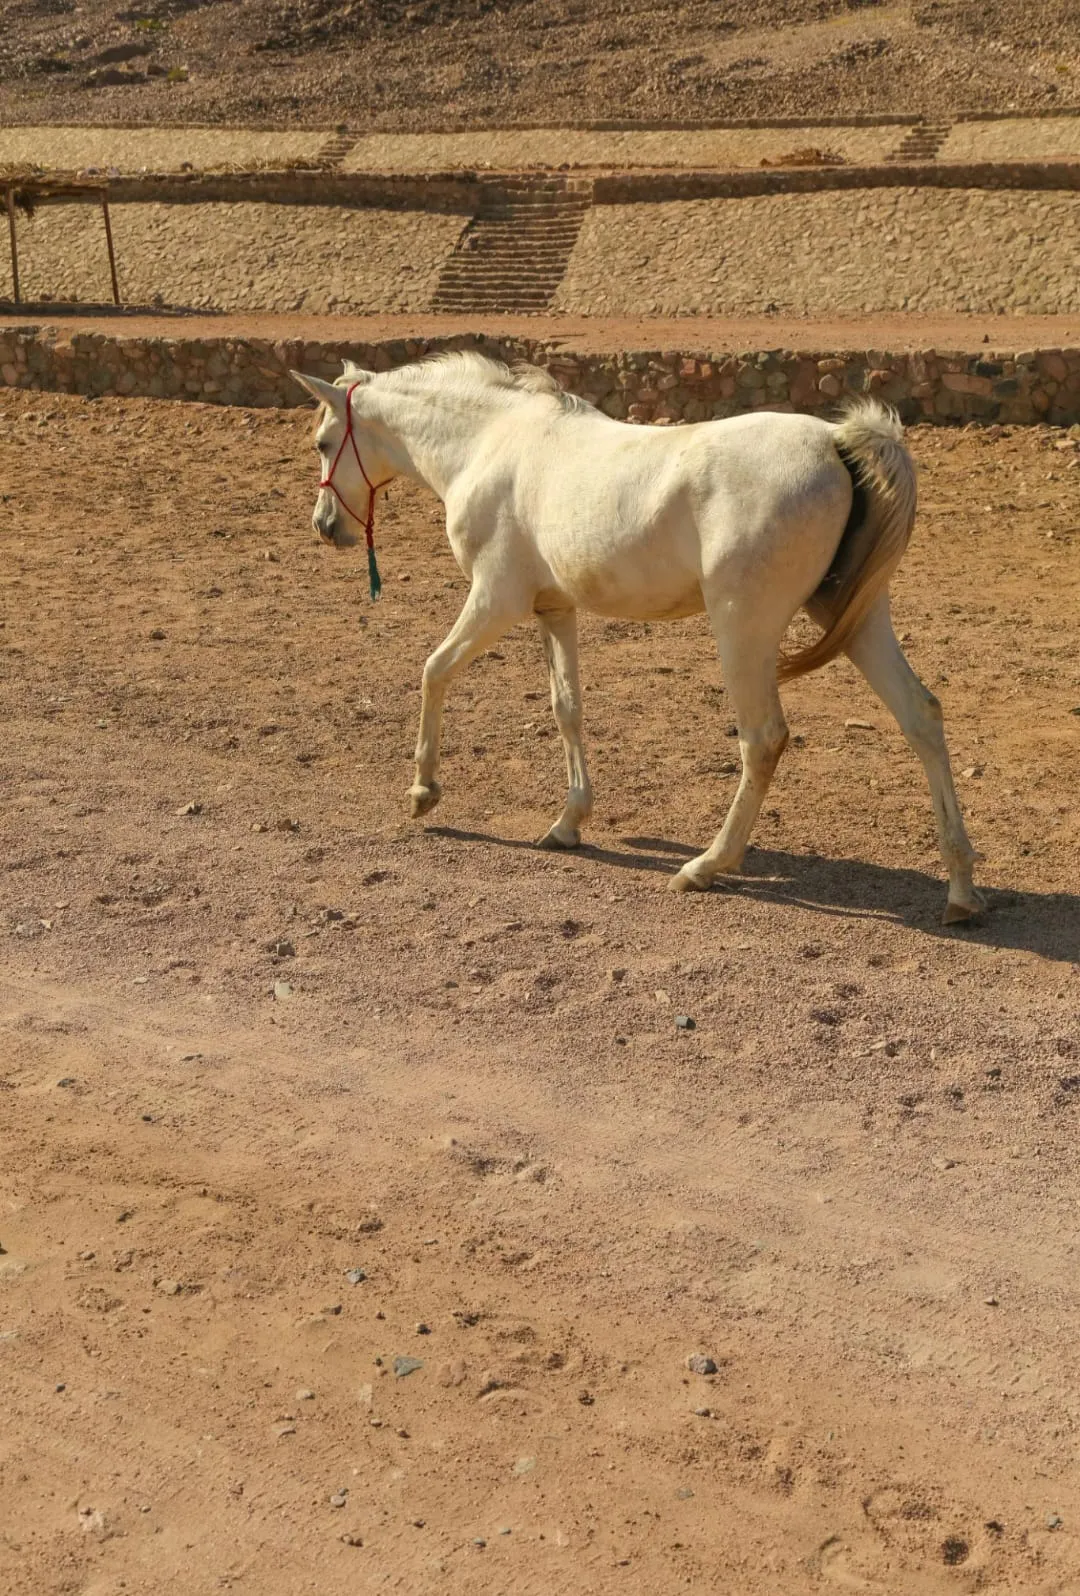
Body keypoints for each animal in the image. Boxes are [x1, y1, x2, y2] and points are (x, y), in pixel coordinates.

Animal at [291, 353, 982, 925]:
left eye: (324, 443)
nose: (326, 527)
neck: (490, 443)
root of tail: (836, 442)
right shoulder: (553, 610)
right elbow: (566, 709)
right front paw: (568, 823)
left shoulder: (495, 600)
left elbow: (434, 670)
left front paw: (423, 792)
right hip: (858, 619)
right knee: (921, 715)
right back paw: (961, 892)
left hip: (743, 627)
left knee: (763, 740)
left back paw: (706, 866)